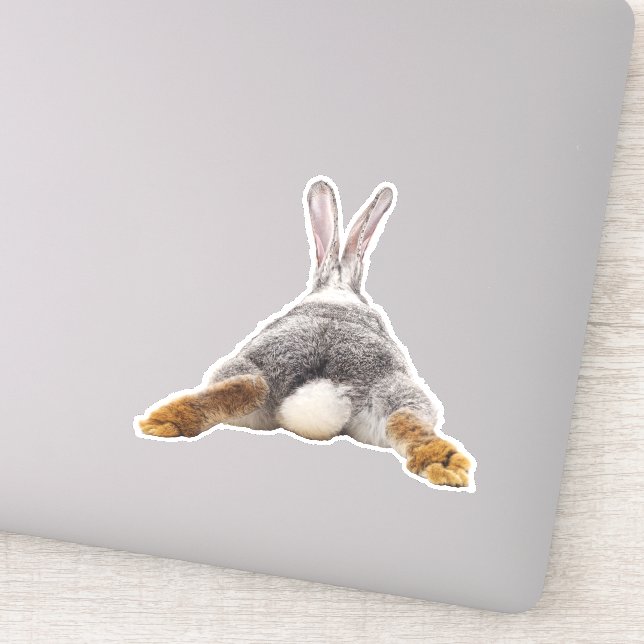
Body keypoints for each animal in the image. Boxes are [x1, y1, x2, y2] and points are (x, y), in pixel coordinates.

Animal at [135, 176, 475, 490]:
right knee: (404, 418)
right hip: (396, 390)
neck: (337, 291)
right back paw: (448, 465)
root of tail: (321, 386)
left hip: (252, 371)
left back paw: (163, 422)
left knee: (247, 387)